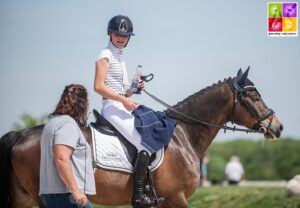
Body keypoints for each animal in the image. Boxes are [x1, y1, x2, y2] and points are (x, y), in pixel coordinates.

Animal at [0, 68, 284, 208]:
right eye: (254, 96)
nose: (278, 127)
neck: (183, 137)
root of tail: (21, 134)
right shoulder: (175, 198)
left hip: (23, 199)